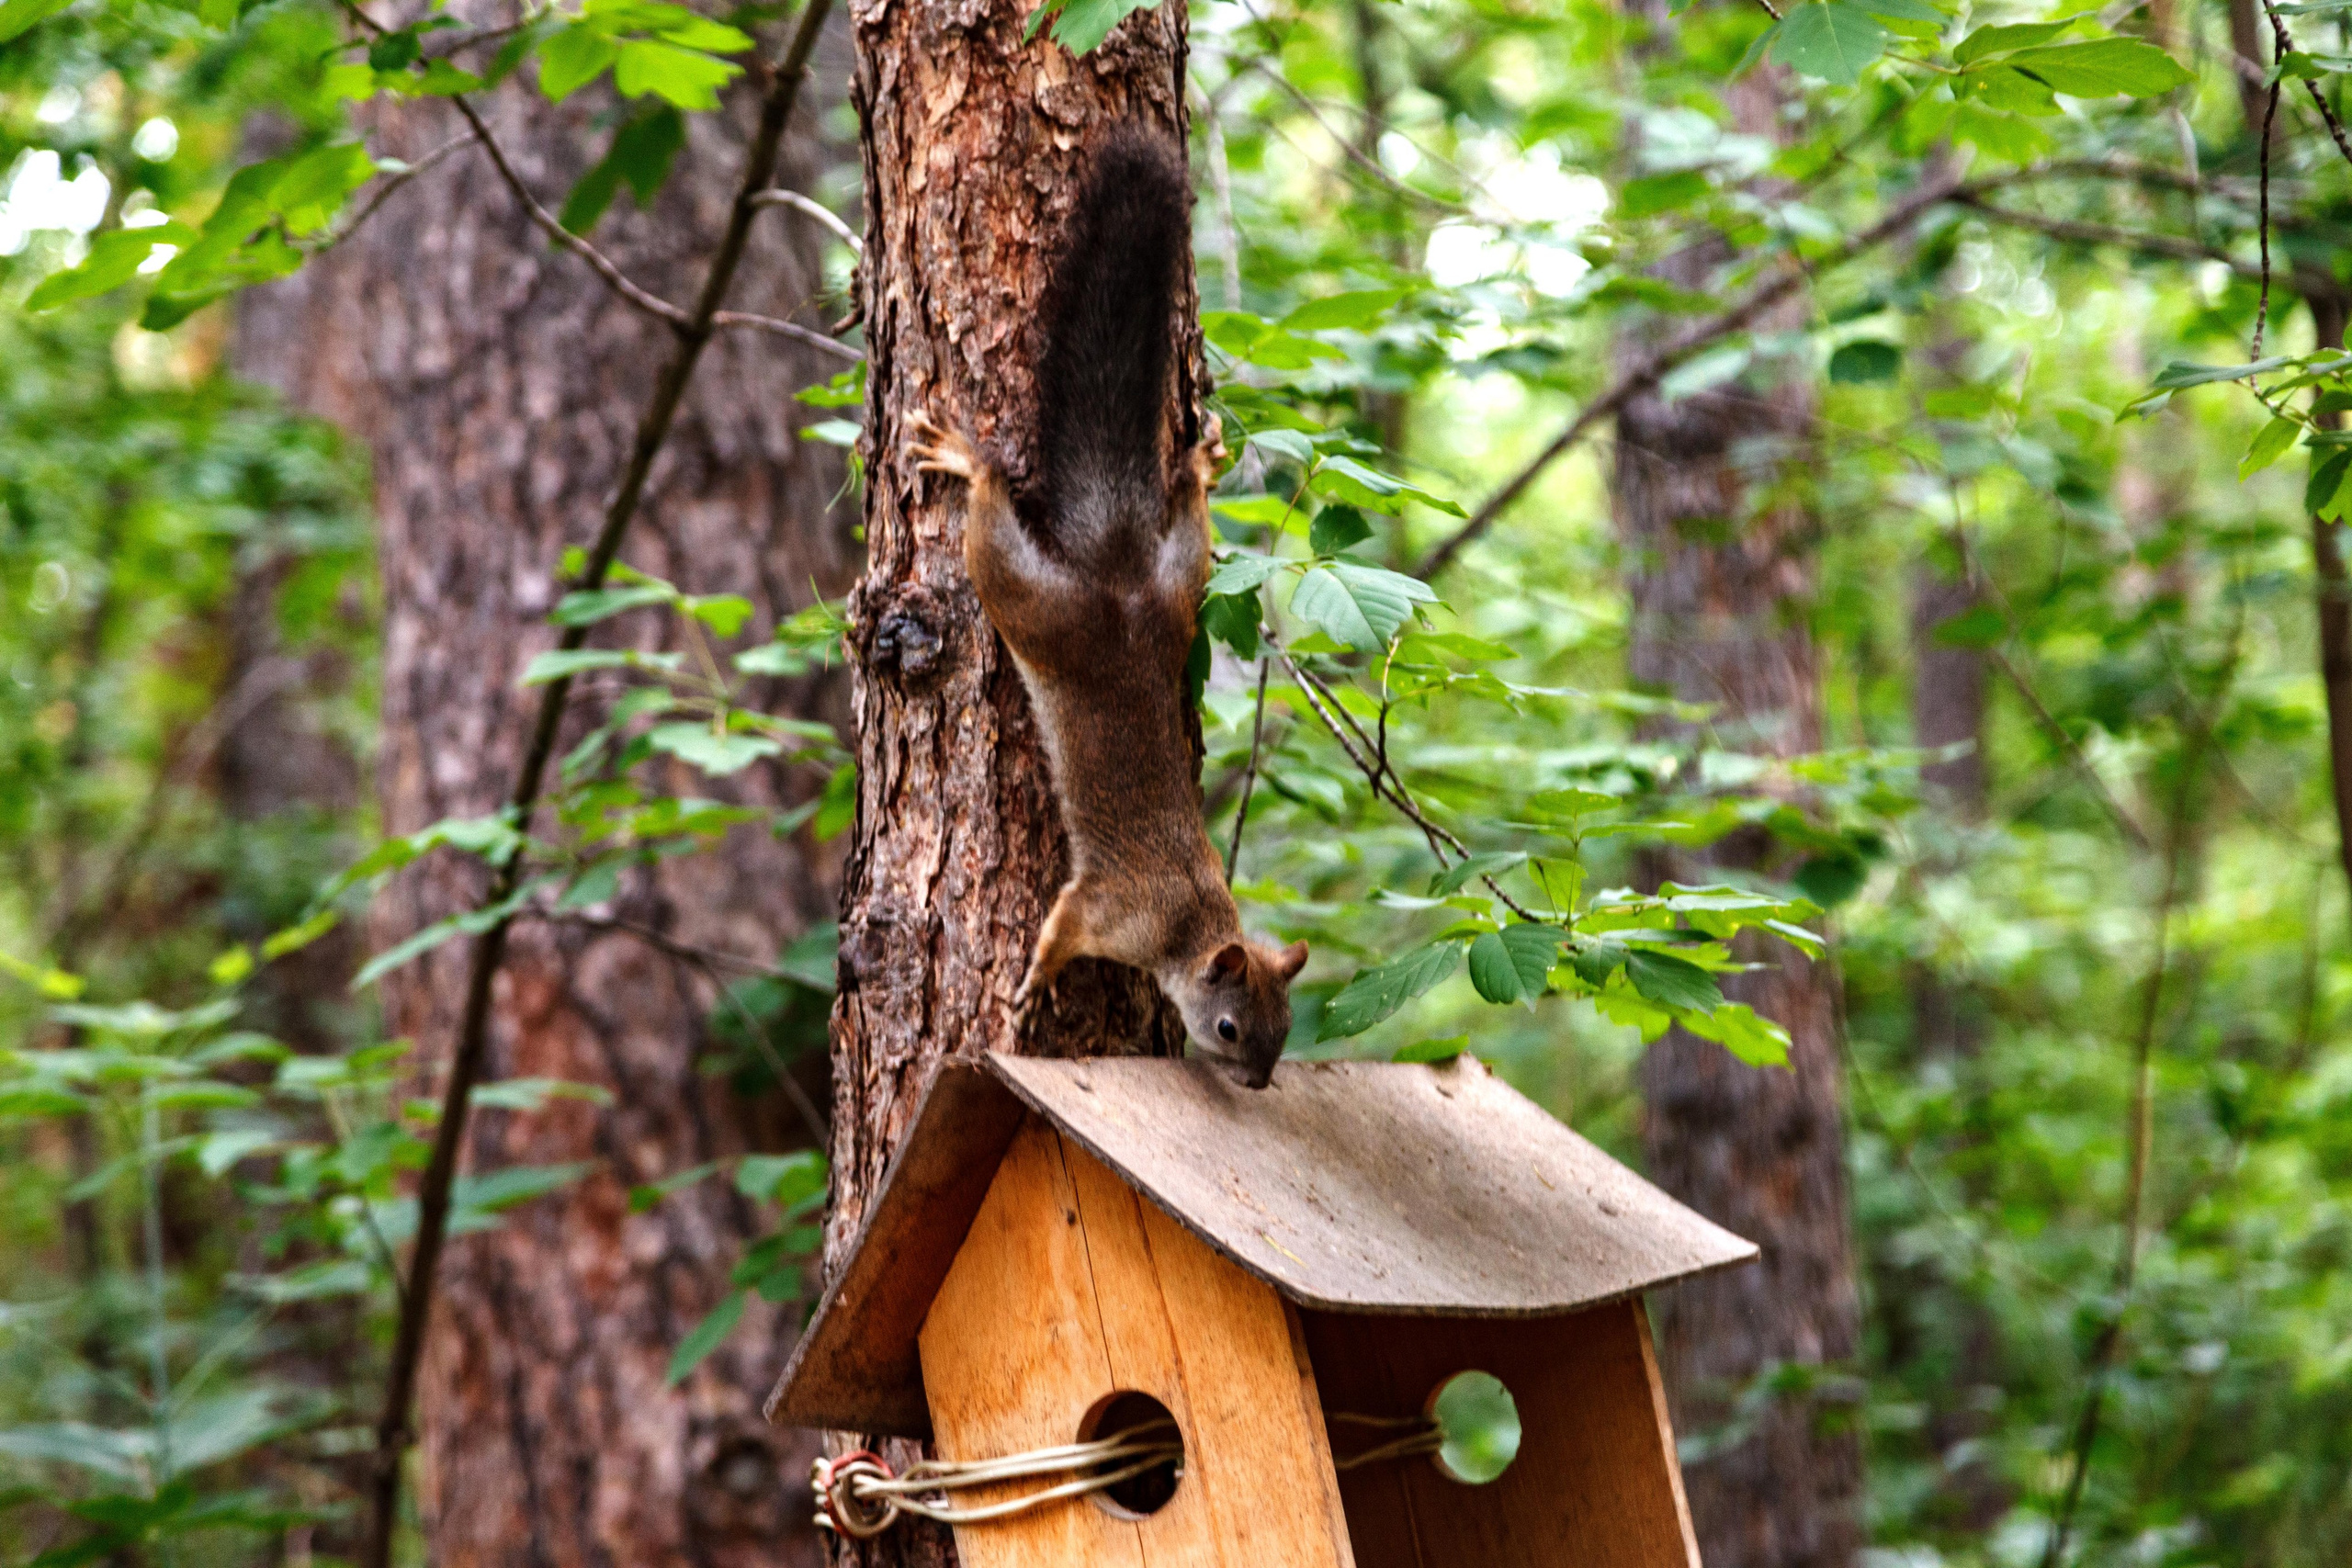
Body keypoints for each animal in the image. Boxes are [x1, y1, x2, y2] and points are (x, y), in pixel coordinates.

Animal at [907, 128, 1308, 1090]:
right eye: (1231, 1027)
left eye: (1284, 1031)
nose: (1257, 1082)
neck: (1192, 925)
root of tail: (1118, 581)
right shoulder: (1107, 908)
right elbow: (1062, 928)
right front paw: (1033, 985)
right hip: (1037, 607)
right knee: (993, 530)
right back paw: (968, 459)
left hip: (1178, 587)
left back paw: (1197, 466)